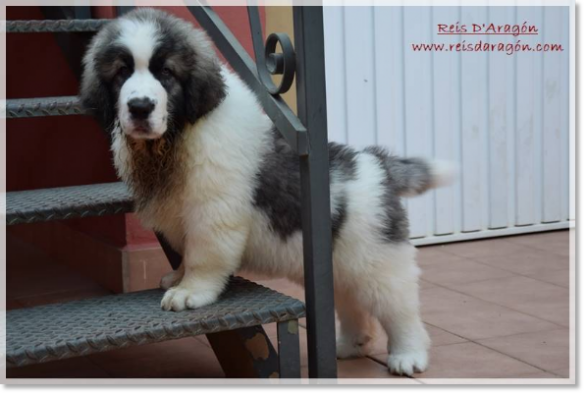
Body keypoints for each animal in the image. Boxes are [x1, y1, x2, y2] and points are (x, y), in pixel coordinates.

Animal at [78, 7, 452, 376]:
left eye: (166, 72)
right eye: (122, 72)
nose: (140, 107)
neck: (178, 135)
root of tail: (378, 164)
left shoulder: (213, 212)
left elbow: (202, 256)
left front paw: (190, 292)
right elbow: (185, 252)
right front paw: (178, 277)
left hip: (378, 261)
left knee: (400, 310)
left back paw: (407, 355)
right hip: (340, 263)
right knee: (349, 302)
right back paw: (349, 344)